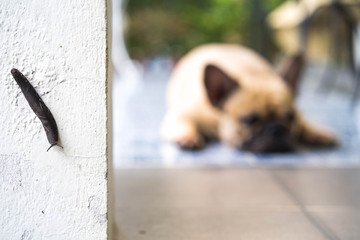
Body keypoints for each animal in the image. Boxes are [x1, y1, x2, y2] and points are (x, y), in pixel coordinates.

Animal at [161, 44, 338, 153]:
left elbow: (304, 122)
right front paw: (188, 137)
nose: (276, 129)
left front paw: (316, 133)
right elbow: (184, 123)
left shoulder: (299, 115)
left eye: (291, 117)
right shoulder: (183, 115)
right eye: (248, 120)